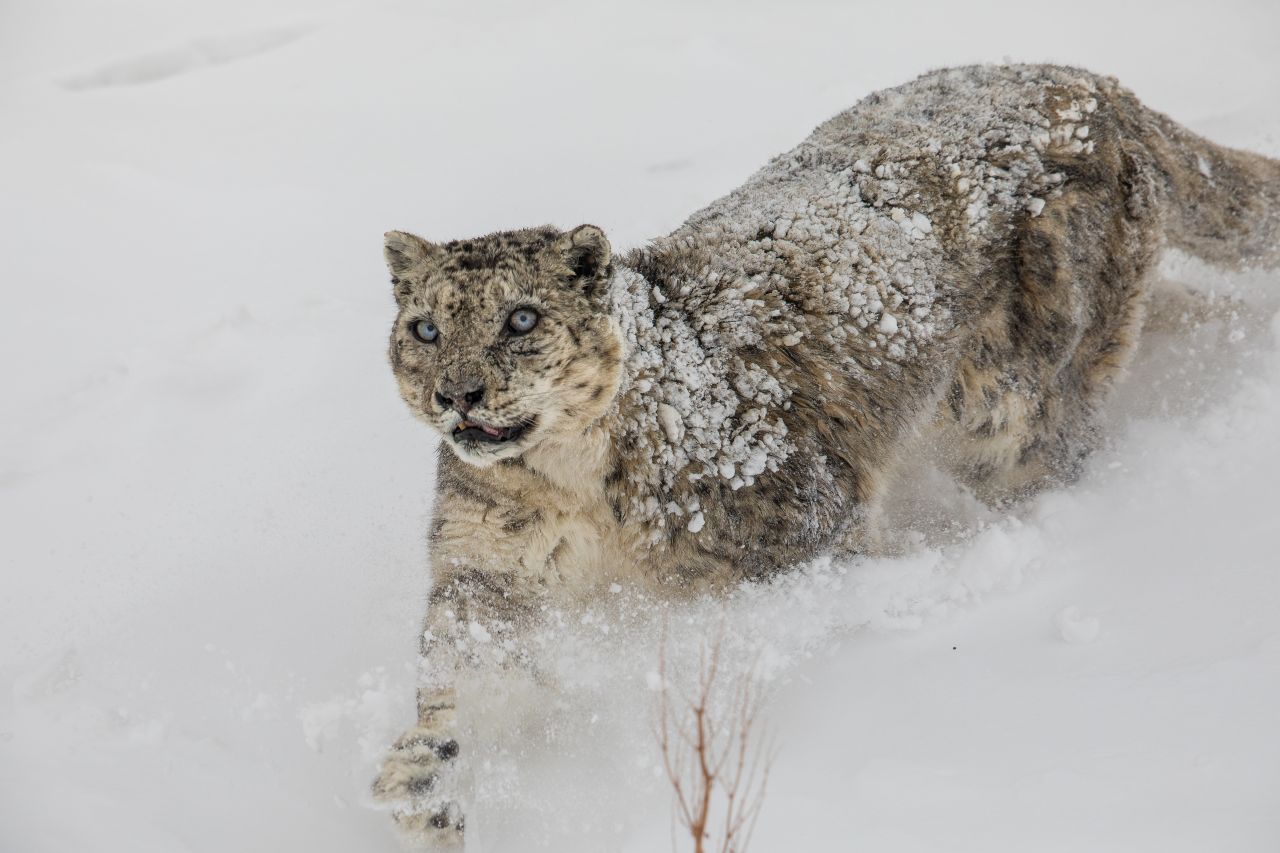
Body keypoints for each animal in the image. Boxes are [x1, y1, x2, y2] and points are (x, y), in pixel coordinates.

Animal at [371, 63, 1280, 840]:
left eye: (520, 317)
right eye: (426, 326)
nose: (458, 394)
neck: (570, 486)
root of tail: (1088, 83)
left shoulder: (801, 532)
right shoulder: (487, 572)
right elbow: (462, 671)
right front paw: (424, 780)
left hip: (1013, 409)